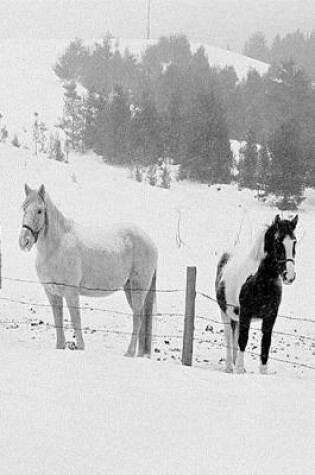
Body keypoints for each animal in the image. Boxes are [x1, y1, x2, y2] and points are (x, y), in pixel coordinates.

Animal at [19, 184, 158, 356]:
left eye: (39, 210)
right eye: (24, 208)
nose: (24, 241)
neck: (56, 247)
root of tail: (151, 243)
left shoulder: (71, 292)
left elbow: (75, 319)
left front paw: (80, 346)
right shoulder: (52, 293)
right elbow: (58, 318)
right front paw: (60, 346)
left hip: (138, 287)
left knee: (137, 317)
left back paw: (129, 353)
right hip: (129, 288)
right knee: (141, 317)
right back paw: (139, 354)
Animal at [216, 216, 300, 376]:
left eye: (294, 241)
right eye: (277, 242)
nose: (290, 276)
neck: (260, 281)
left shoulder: (270, 316)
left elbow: (265, 344)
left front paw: (262, 372)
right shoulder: (246, 313)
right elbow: (242, 340)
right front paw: (239, 371)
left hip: (237, 317)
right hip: (225, 314)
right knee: (229, 338)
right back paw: (229, 367)